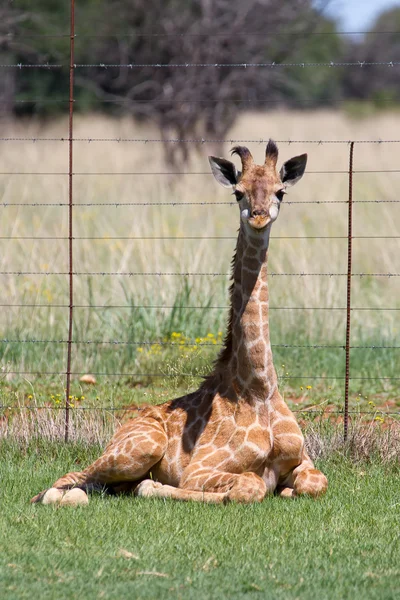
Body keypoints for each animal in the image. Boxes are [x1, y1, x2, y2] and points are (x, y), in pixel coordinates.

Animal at [32, 141, 328, 506]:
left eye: (280, 191)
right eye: (238, 192)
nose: (258, 216)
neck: (259, 389)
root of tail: (121, 429)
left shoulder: (304, 460)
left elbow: (315, 482)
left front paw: (288, 489)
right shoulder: (199, 469)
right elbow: (249, 486)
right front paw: (157, 488)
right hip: (141, 448)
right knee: (64, 483)